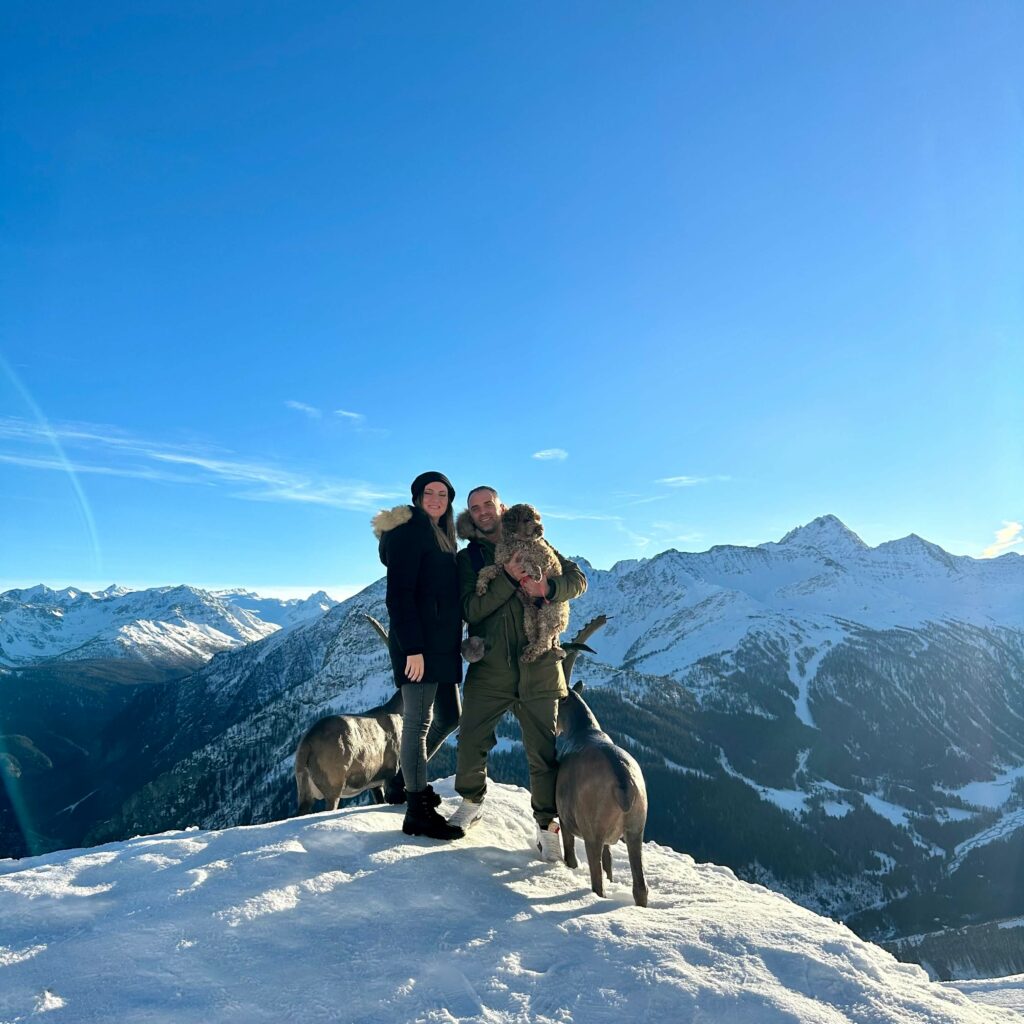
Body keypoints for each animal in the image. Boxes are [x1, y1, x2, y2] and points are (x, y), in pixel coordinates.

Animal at [471, 503, 569, 663]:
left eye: (538, 518)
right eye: (527, 519)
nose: (540, 529)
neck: (515, 541)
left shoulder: (545, 559)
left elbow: (526, 560)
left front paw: (536, 573)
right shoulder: (501, 565)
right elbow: (485, 570)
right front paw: (480, 587)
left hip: (549, 613)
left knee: (545, 643)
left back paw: (530, 655)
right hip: (529, 616)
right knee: (536, 637)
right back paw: (528, 650)